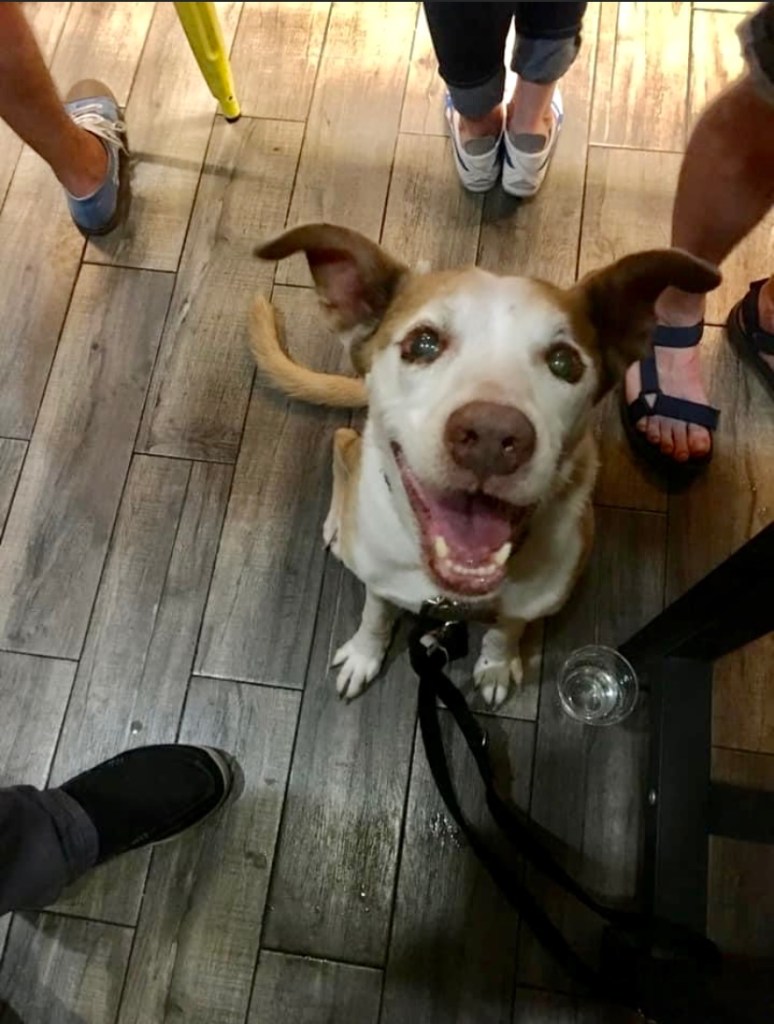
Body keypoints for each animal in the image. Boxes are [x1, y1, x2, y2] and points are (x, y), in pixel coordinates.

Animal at [249, 224, 719, 707]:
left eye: (564, 361)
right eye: (423, 343)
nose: (492, 437)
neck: (452, 594)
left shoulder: (527, 603)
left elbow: (506, 631)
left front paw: (495, 665)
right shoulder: (380, 583)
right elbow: (375, 616)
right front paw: (364, 655)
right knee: (341, 442)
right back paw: (336, 525)